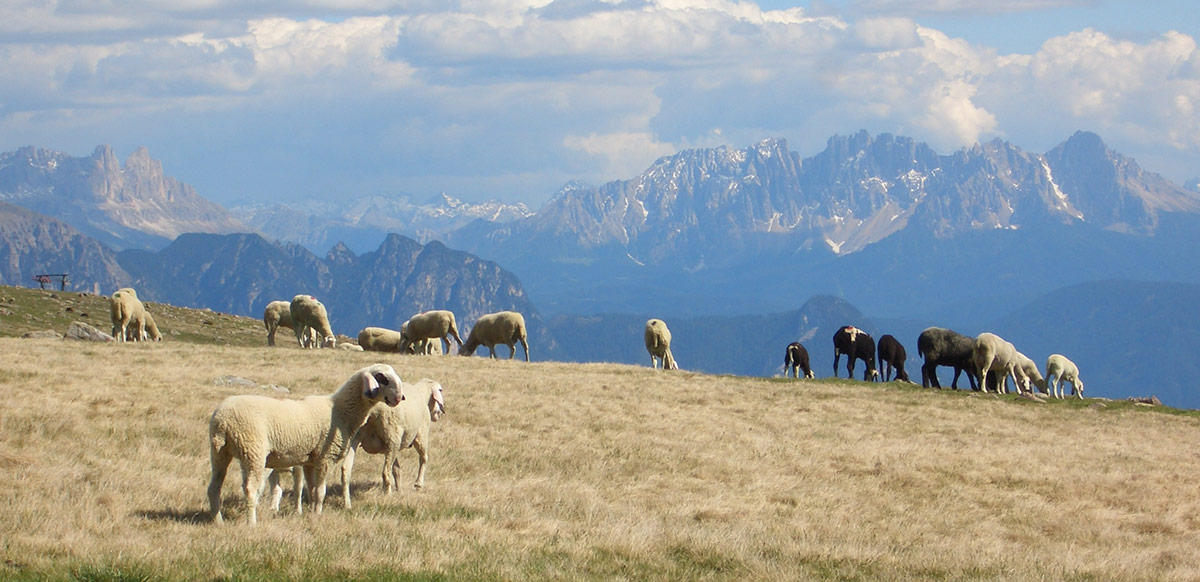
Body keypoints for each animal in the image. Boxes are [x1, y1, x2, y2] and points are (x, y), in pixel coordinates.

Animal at [208, 362, 405, 520]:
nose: (399, 398)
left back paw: (218, 521)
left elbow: (311, 490)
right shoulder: (325, 457)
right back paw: (251, 524)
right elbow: (320, 491)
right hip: (253, 451)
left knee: (214, 488)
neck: (340, 411)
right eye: (382, 378)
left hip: (219, 452)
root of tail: (222, 420)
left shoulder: (311, 460)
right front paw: (318, 513)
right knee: (250, 490)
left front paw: (310, 512)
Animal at [340, 376, 448, 504]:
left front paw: (399, 489)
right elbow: (424, 458)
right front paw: (418, 484)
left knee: (346, 469)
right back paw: (387, 495)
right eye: (440, 390)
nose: (439, 414)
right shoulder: (421, 434)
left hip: (361, 437)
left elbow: (396, 469)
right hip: (392, 435)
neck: (422, 395)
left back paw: (347, 502)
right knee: (385, 472)